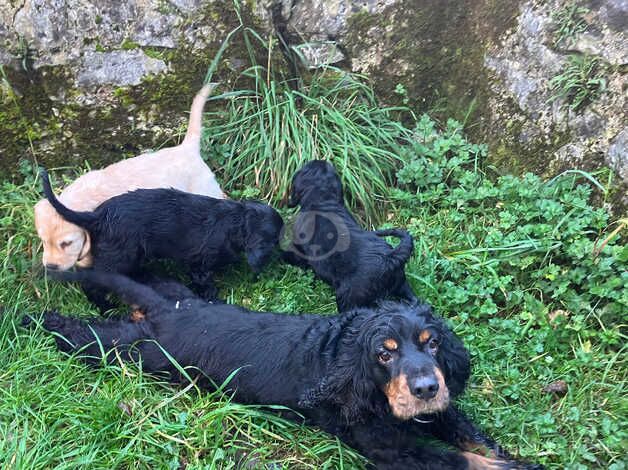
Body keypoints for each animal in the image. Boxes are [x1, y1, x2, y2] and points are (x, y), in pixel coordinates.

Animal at [27, 270, 544, 468]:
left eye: (431, 343)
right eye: (384, 354)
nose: (424, 388)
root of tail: (167, 311)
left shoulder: (437, 412)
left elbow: (472, 436)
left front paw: (515, 458)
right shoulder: (390, 449)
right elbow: (459, 459)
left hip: (166, 296)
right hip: (139, 352)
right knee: (88, 338)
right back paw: (39, 320)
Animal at [40, 167, 284, 310]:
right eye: (275, 241)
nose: (283, 257)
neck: (235, 222)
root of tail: (97, 215)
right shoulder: (200, 263)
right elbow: (206, 284)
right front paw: (215, 300)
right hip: (118, 258)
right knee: (94, 284)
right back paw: (106, 308)